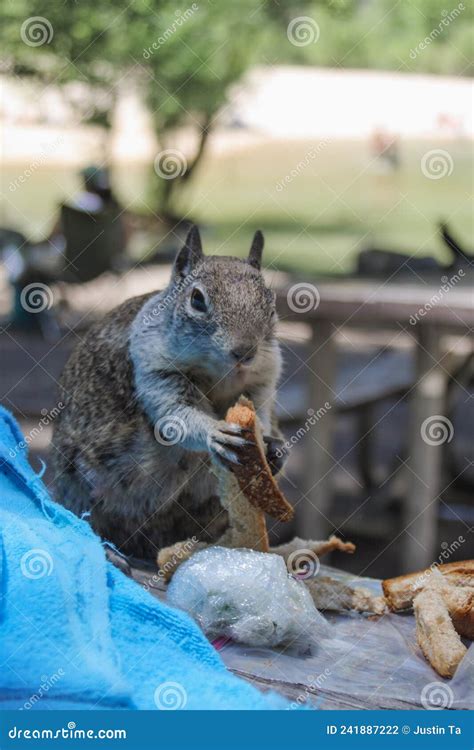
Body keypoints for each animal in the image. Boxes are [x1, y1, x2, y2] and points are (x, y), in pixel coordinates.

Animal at [51, 226, 287, 560]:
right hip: (77, 482)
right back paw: (110, 551)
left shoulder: (262, 381)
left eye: (271, 302)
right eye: (197, 299)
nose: (245, 351)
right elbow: (176, 417)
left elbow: (263, 414)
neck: (219, 375)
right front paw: (215, 433)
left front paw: (271, 446)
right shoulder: (154, 369)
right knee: (82, 519)